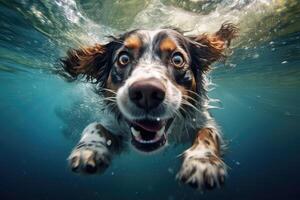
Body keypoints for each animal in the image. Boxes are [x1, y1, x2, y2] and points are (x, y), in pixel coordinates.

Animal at [60, 22, 239, 190]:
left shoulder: (200, 119)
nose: (146, 92)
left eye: (177, 59)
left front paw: (202, 162)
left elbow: (208, 132)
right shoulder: (116, 126)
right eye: (123, 59)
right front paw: (89, 149)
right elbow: (95, 125)